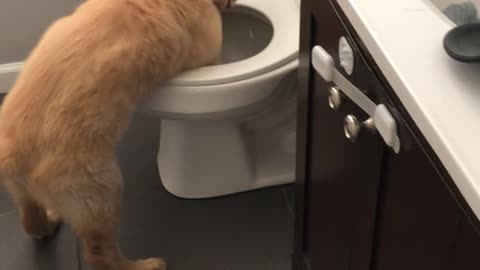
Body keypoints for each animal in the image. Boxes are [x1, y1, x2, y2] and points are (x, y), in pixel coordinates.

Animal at [0, 0, 236, 270]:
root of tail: (11, 152)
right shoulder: (209, 52)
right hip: (100, 192)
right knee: (100, 255)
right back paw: (144, 266)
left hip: (24, 190)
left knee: (31, 221)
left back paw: (49, 222)